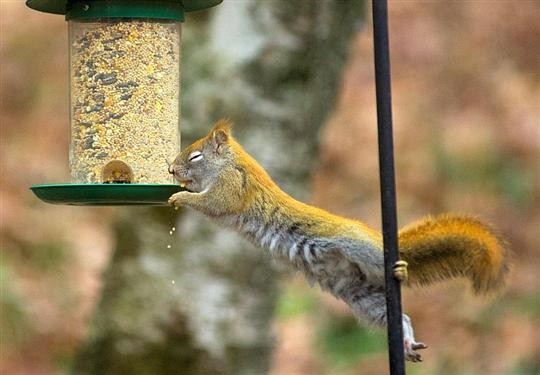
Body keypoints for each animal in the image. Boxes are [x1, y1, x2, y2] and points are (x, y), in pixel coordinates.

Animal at [169, 119, 510, 362]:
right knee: (397, 315)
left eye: (196, 155)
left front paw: (179, 196)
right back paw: (406, 340)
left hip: (357, 247)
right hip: (364, 297)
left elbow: (212, 203)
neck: (230, 163)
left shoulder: (232, 187)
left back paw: (402, 270)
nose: (171, 169)